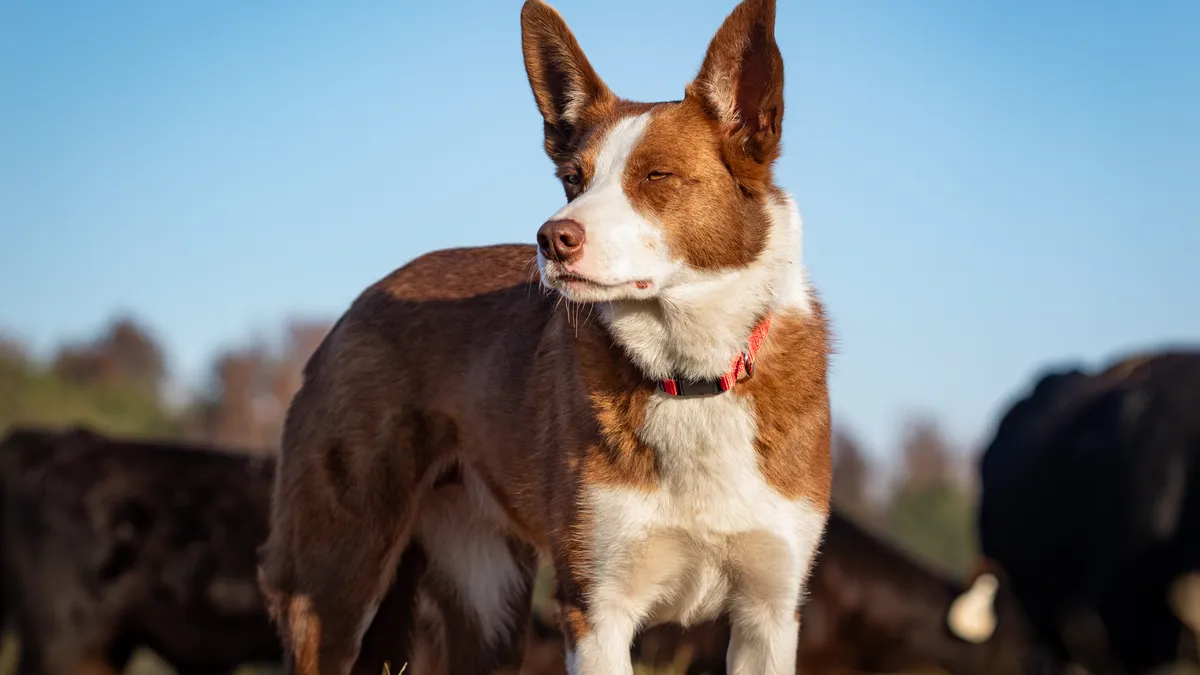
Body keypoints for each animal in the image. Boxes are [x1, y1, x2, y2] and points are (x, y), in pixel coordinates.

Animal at [258, 1, 830, 672]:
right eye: (572, 180)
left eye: (657, 176)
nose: (553, 239)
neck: (690, 375)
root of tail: (359, 305)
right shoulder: (596, 610)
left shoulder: (770, 613)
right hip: (336, 581)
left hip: (490, 603)